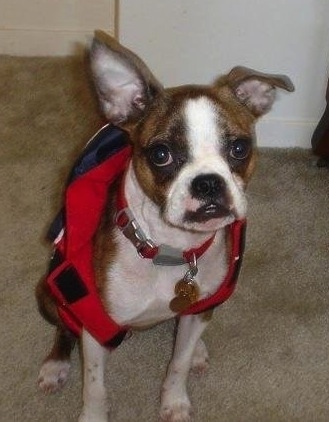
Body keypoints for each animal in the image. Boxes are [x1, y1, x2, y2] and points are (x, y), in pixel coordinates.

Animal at [35, 30, 292, 422]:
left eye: (239, 148)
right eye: (160, 155)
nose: (207, 183)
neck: (169, 249)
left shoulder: (195, 311)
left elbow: (178, 364)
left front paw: (174, 401)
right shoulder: (94, 326)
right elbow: (94, 385)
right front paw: (93, 415)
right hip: (50, 292)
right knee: (64, 328)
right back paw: (54, 366)